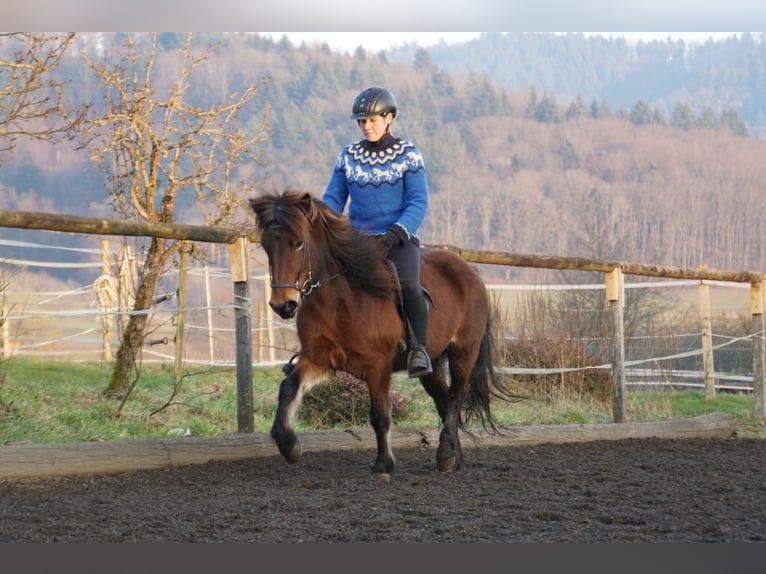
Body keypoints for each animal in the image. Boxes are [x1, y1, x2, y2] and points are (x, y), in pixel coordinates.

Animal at [252, 191, 520, 480]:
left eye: (298, 243)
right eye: (266, 245)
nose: (283, 305)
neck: (339, 301)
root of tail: (469, 270)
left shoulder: (378, 366)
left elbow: (380, 415)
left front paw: (383, 465)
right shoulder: (320, 359)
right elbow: (288, 388)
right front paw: (288, 444)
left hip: (464, 351)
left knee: (456, 395)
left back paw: (446, 454)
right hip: (434, 362)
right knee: (443, 399)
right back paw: (451, 457)